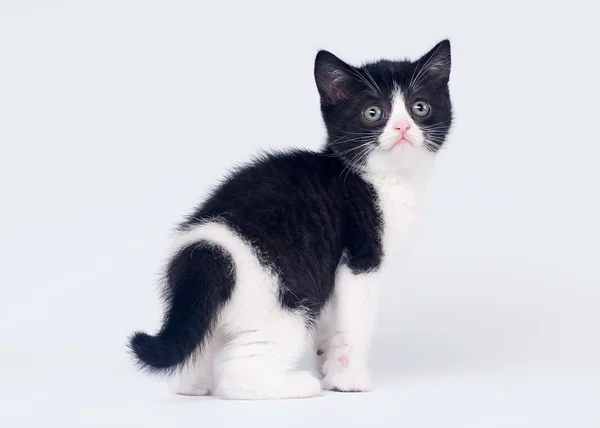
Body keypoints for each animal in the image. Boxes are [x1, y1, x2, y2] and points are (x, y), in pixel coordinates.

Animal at [129, 38, 452, 400]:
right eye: (373, 113)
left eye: (419, 107)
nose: (402, 127)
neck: (384, 180)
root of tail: (207, 252)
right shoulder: (360, 261)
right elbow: (354, 324)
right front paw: (348, 379)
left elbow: (331, 326)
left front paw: (329, 367)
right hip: (287, 298)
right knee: (237, 371)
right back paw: (298, 384)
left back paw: (195, 385)